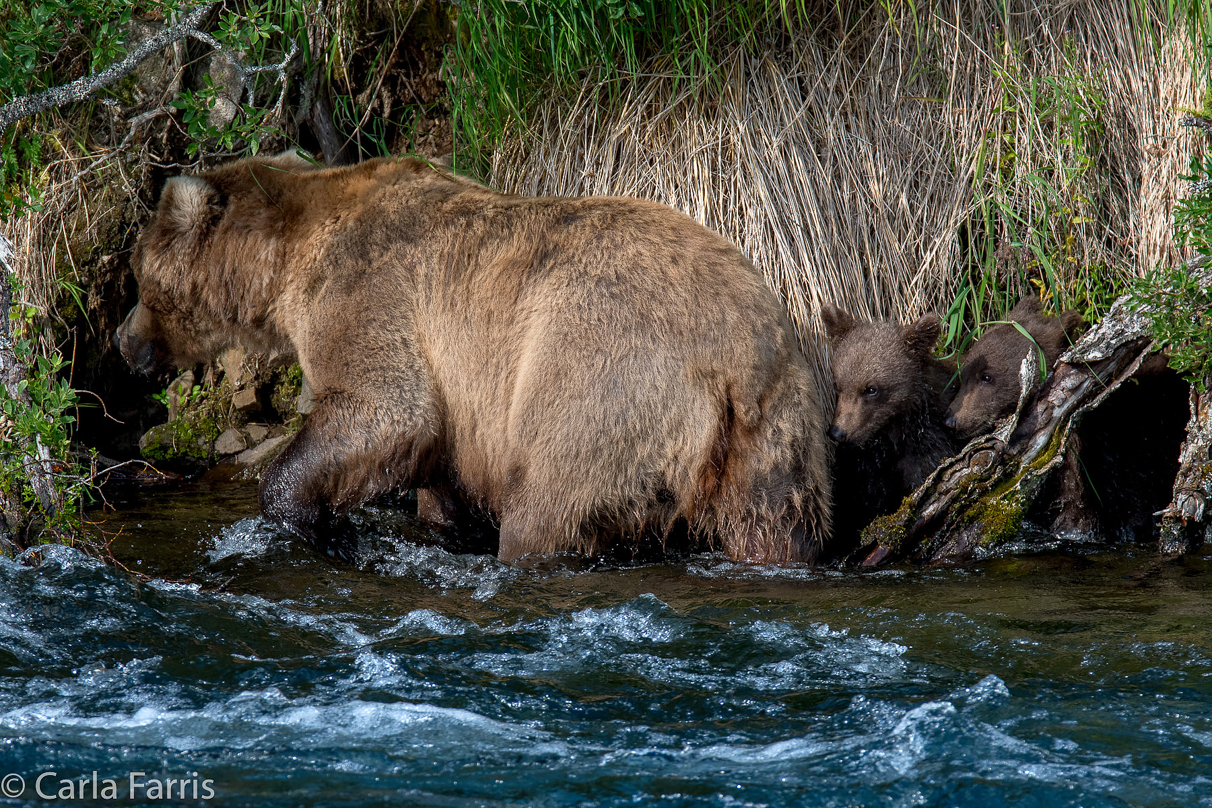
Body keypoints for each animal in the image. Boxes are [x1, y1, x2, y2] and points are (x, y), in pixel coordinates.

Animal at [113, 155, 833, 566]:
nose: (123, 340)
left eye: (138, 277)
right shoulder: (460, 404)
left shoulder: (368, 295)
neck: (284, 265)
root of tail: (733, 360)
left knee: (548, 504)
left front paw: (303, 515)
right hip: (777, 433)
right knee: (776, 529)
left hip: (603, 379)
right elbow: (436, 472)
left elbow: (383, 409)